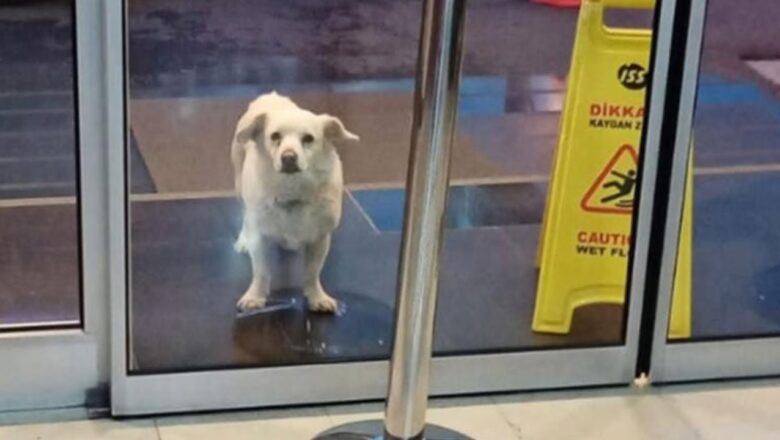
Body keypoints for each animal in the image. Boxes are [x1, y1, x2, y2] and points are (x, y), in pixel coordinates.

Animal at [227, 92, 358, 312]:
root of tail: (270, 96)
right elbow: (261, 271)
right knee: (245, 214)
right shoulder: (260, 238)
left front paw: (316, 297)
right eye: (275, 137)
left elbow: (312, 272)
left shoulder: (320, 239)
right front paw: (255, 296)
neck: (292, 189)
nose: (288, 156)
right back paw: (244, 239)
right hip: (239, 184)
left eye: (308, 139)